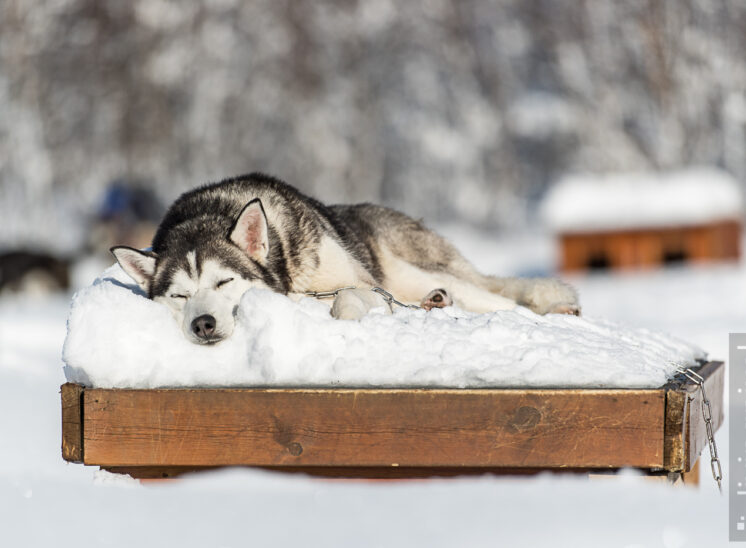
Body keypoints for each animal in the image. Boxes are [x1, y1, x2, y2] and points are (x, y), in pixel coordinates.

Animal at [112, 173, 576, 344]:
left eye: (224, 282)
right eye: (179, 297)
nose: (203, 323)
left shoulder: (365, 284)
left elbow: (349, 298)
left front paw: (348, 317)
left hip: (408, 271)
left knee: (501, 299)